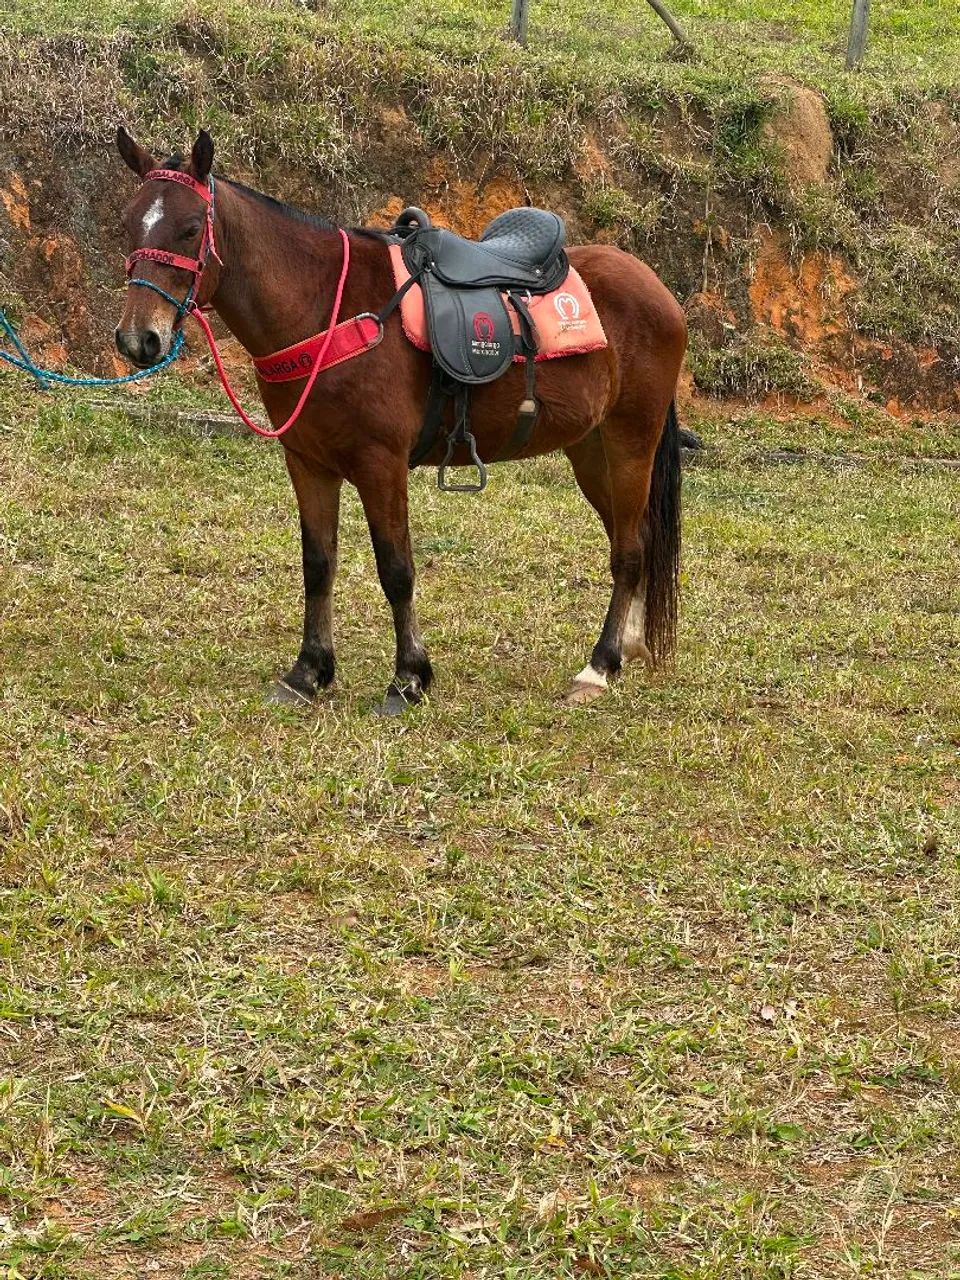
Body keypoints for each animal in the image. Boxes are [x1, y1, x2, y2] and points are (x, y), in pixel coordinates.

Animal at [114, 128, 687, 715]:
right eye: (129, 223)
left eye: (189, 229)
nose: (138, 339)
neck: (329, 308)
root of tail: (655, 287)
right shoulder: (308, 463)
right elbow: (317, 565)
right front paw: (308, 672)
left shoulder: (380, 464)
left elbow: (396, 570)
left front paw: (409, 677)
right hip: (591, 451)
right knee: (635, 539)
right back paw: (629, 644)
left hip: (630, 442)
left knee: (629, 551)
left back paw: (601, 664)